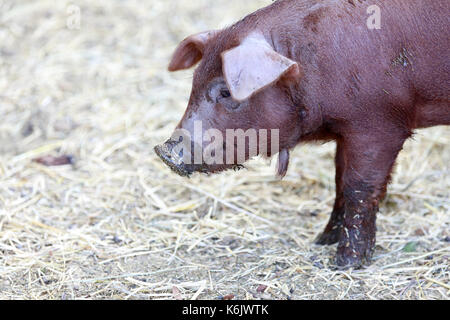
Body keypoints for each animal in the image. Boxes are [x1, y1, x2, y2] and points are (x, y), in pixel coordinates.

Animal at [154, 0, 446, 268]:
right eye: (194, 84)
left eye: (226, 91)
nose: (164, 151)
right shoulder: (346, 132)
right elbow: (339, 180)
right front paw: (322, 240)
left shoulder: (380, 125)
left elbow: (359, 188)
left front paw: (345, 264)